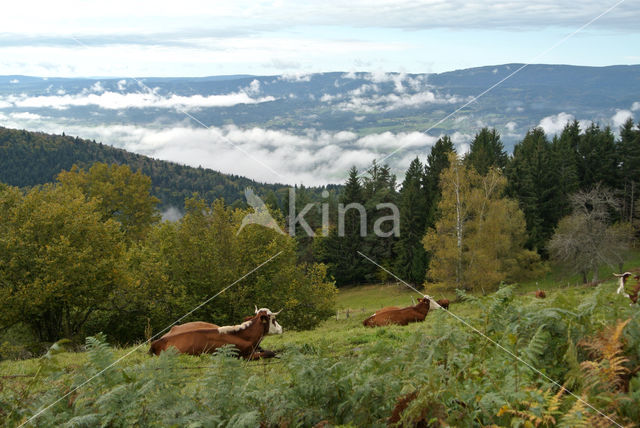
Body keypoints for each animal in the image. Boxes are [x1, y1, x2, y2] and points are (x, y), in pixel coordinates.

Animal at [150, 308, 282, 358]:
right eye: (273, 320)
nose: (281, 328)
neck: (244, 336)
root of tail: (158, 341)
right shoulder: (244, 355)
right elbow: (270, 353)